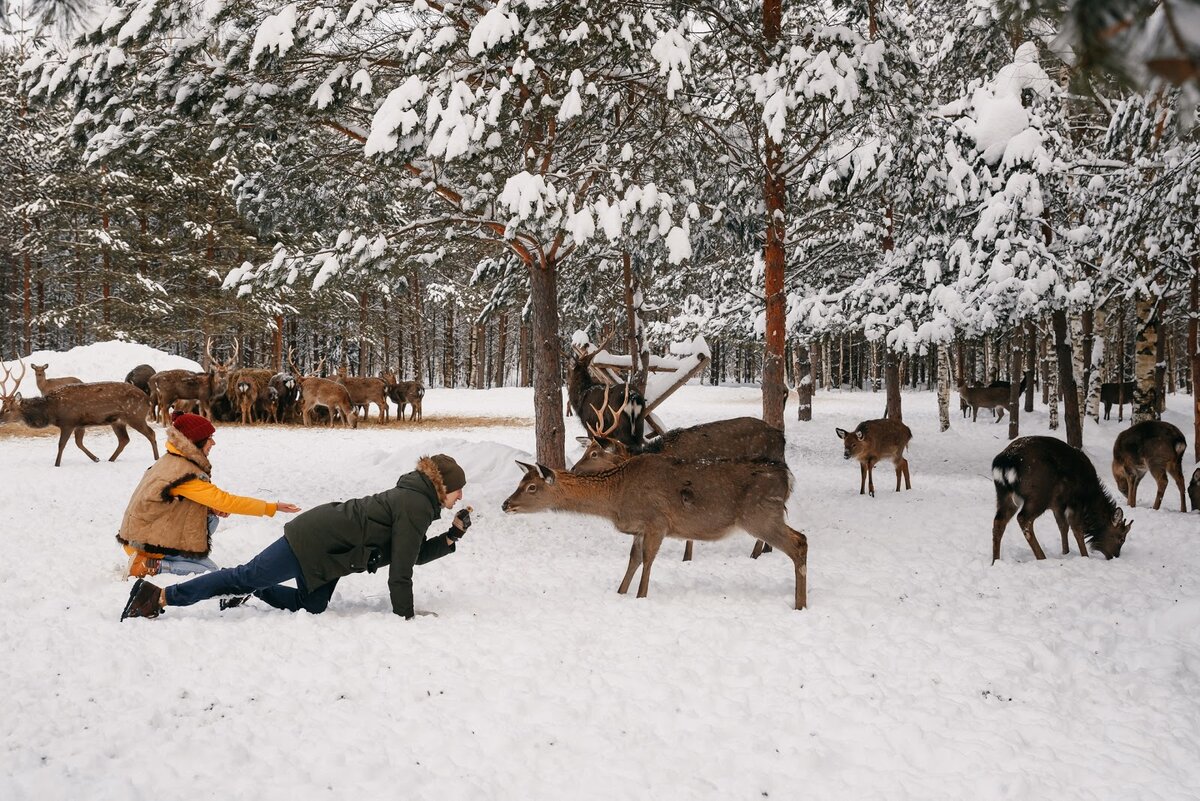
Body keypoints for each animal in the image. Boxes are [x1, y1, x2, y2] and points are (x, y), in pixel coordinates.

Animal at [0, 357, 159, 465]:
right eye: (2, 407)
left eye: (8, 409)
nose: (0, 419)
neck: (51, 411)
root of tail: (147, 399)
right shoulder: (79, 425)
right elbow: (78, 443)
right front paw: (96, 458)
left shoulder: (68, 422)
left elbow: (61, 445)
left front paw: (57, 464)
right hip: (117, 421)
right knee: (124, 440)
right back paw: (110, 459)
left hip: (135, 416)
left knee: (151, 433)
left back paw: (156, 458)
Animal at [496, 453, 806, 609]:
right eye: (520, 482)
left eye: (531, 487)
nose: (505, 504)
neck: (616, 498)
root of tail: (788, 478)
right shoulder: (639, 529)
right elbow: (633, 560)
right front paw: (620, 593)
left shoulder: (658, 521)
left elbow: (647, 561)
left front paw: (641, 597)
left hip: (760, 514)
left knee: (799, 542)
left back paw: (799, 604)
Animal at [573, 417, 787, 561]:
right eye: (586, 449)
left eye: (594, 454)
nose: (573, 468)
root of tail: (781, 436)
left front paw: (686, 557)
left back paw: (756, 552)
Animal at [988, 438, 1128, 563]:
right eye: (1121, 538)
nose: (1115, 556)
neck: (1090, 497)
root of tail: (1005, 462)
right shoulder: (1075, 502)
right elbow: (1077, 529)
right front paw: (1085, 556)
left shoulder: (1057, 505)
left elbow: (1063, 526)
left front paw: (1065, 552)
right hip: (1038, 495)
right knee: (1023, 518)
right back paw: (1041, 557)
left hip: (1003, 494)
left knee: (999, 521)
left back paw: (995, 560)